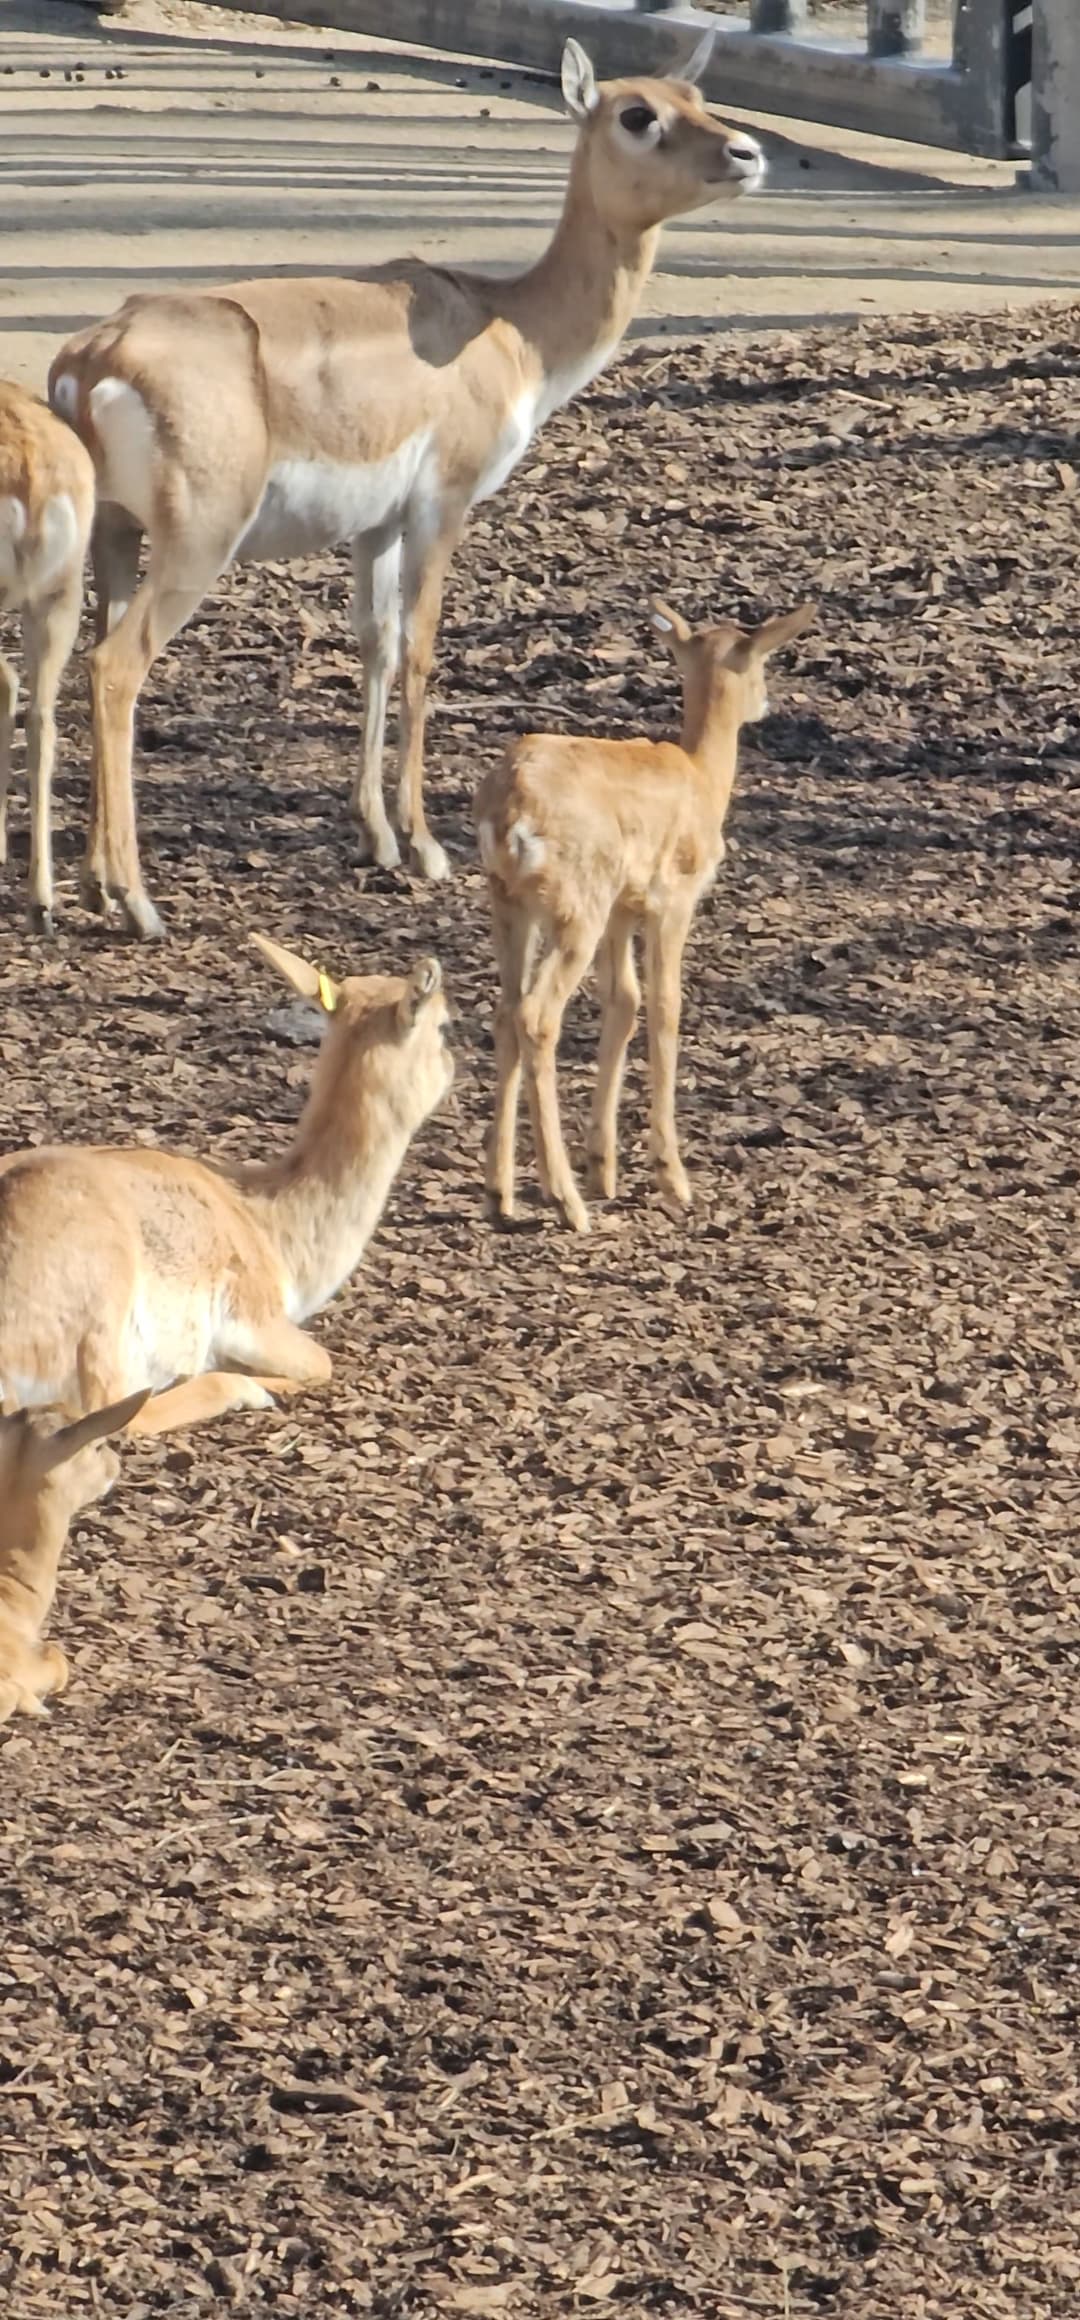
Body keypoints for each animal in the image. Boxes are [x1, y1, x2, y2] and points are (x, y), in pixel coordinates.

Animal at [46, 34, 764, 937]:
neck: (510, 330)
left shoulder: (376, 526)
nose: (747, 152)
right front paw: (425, 847)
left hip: (112, 533)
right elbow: (422, 652)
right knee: (116, 667)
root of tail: (92, 358)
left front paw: (377, 837)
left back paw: (92, 885)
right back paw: (139, 903)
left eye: (695, 95)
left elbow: (377, 647)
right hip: (195, 545)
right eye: (638, 114)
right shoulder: (441, 507)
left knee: (84, 658)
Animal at [476, 595, 816, 1233]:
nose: (766, 702)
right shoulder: (671, 900)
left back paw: (500, 1193)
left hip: (511, 905)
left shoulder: (622, 910)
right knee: (537, 1015)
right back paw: (566, 1202)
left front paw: (604, 1167)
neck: (702, 778)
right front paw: (671, 1177)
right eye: (761, 659)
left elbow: (624, 1002)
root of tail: (509, 814)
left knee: (506, 1011)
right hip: (574, 907)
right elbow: (664, 1006)